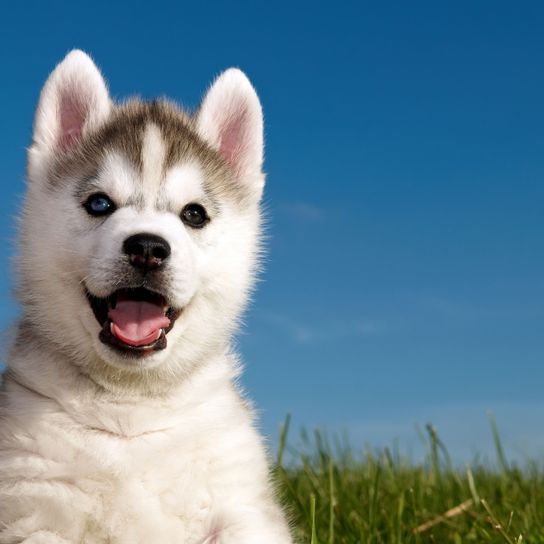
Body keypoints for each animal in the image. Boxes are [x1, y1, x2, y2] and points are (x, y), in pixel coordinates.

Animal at [0, 51, 294, 544]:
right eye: (99, 204)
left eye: (194, 214)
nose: (148, 248)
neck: (131, 408)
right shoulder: (32, 505)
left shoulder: (241, 502)